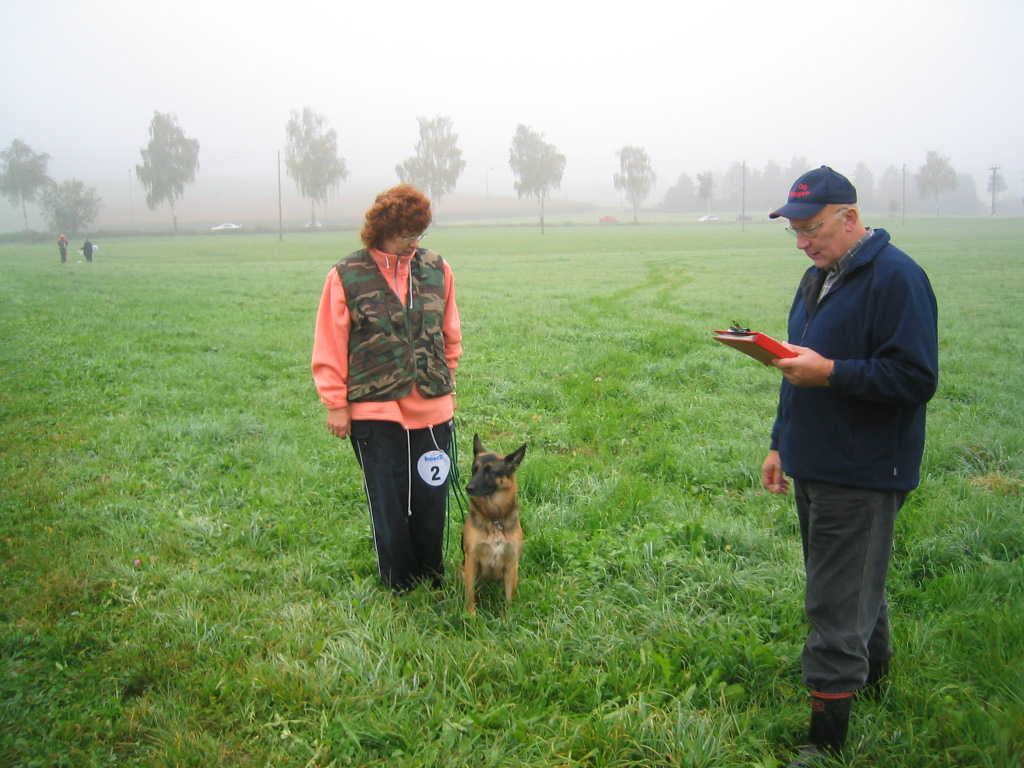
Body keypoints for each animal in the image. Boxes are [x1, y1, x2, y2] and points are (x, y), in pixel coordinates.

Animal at [464, 436, 528, 618]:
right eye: (474, 469)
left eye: (490, 471)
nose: (468, 488)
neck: (494, 518)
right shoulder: (471, 560)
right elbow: (470, 595)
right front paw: (470, 615)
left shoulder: (511, 562)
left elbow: (509, 596)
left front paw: (508, 618)